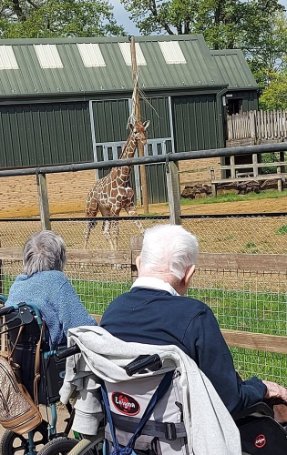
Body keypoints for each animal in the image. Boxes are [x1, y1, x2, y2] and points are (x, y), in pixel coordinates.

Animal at [84, 120, 150, 249]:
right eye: (135, 131)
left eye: (144, 130)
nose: (144, 141)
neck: (123, 178)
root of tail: (89, 191)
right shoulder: (116, 207)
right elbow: (116, 233)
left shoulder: (130, 206)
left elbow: (142, 229)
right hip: (92, 209)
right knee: (86, 230)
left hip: (105, 210)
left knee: (104, 231)